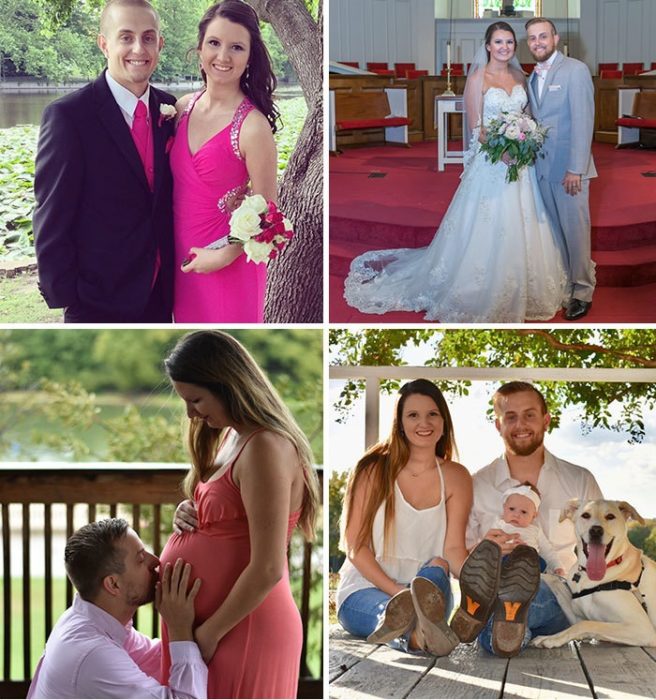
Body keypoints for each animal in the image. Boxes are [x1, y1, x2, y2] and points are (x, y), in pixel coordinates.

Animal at [532, 500, 656, 648]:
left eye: (610, 516)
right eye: (585, 515)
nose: (596, 530)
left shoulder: (642, 627)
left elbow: (586, 624)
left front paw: (551, 639)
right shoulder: (576, 615)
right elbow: (554, 580)